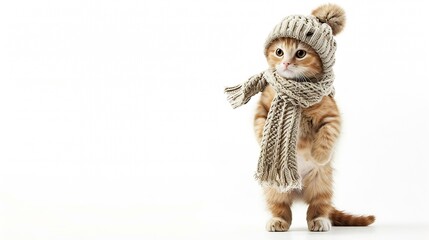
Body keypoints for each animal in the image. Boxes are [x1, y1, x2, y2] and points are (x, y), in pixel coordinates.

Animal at [254, 38, 374, 232]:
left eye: (300, 53)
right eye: (279, 52)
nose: (286, 63)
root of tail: (298, 191)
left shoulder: (331, 115)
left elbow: (327, 134)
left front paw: (320, 155)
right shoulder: (261, 110)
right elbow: (260, 128)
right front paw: (265, 148)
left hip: (321, 182)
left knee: (318, 205)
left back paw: (319, 221)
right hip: (275, 188)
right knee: (281, 207)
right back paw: (278, 221)